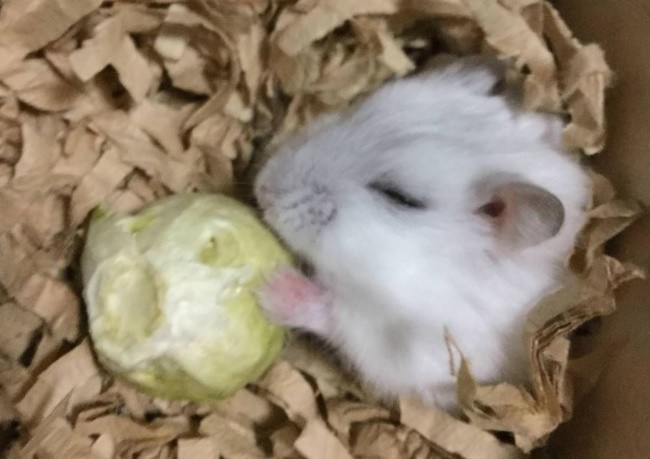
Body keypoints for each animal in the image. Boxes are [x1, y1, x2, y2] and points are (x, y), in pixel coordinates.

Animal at [253, 54, 590, 411]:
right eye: (355, 113)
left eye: (399, 196)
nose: (262, 188)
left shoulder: (421, 349)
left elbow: (339, 319)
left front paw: (273, 287)